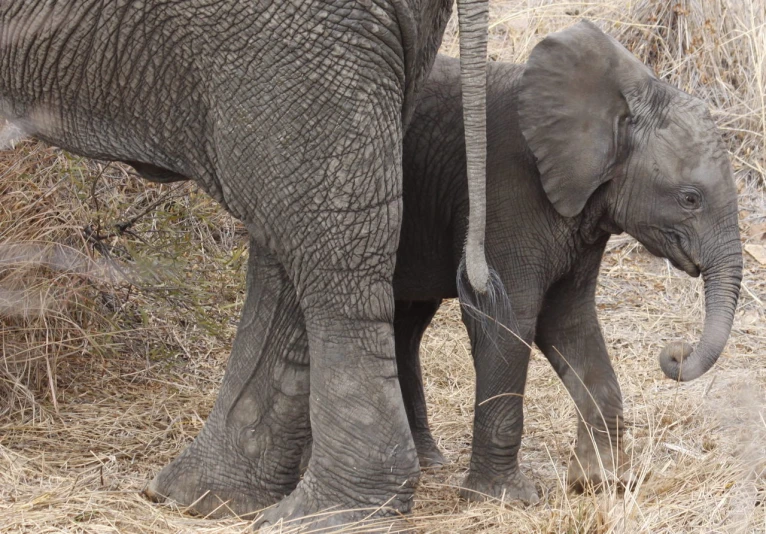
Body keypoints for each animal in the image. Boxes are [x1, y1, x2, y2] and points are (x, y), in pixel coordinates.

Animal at [392, 21, 740, 506]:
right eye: (690, 199)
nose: (676, 352)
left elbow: (569, 320)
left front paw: (601, 482)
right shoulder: (504, 195)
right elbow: (507, 319)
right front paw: (506, 499)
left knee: (407, 322)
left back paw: (429, 462)